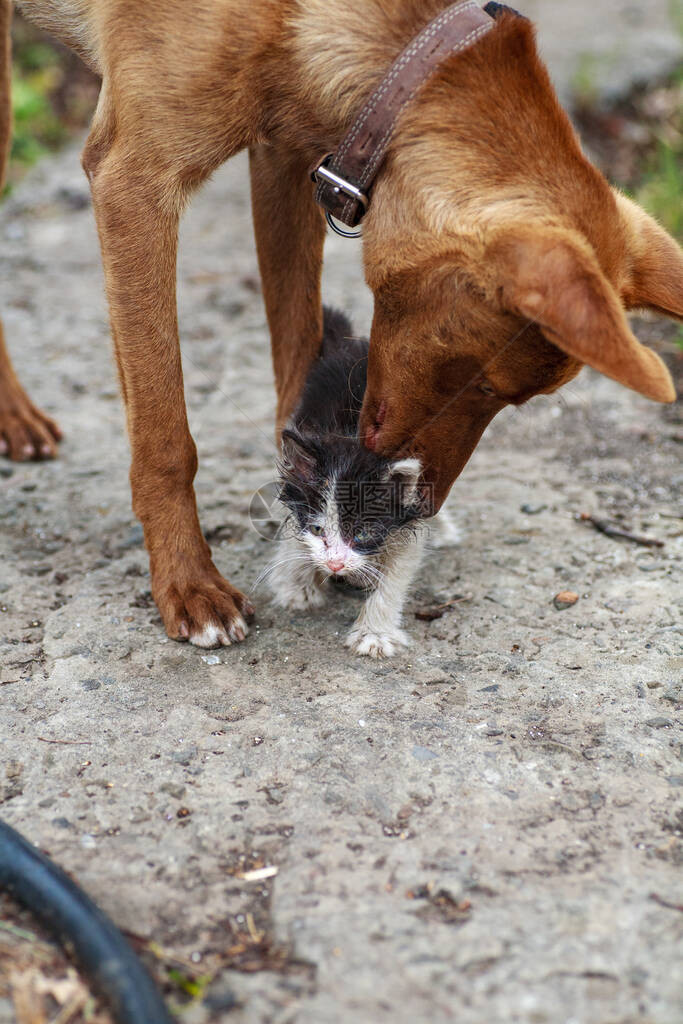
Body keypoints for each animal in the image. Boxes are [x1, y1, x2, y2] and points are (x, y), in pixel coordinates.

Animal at [270, 309, 450, 655]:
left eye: (363, 533)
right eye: (318, 530)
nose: (335, 566)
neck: (354, 440)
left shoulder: (406, 517)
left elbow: (397, 572)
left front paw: (374, 634)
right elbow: (294, 527)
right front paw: (297, 585)